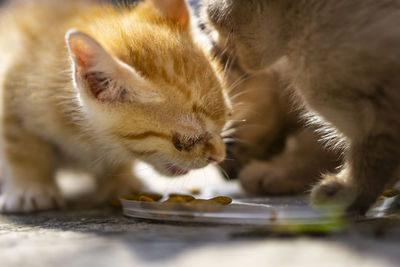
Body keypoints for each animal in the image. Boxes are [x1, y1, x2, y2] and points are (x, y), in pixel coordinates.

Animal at [0, 0, 230, 214]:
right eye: (184, 141)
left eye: (226, 118)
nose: (220, 157)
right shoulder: (11, 86)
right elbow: (21, 144)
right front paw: (30, 188)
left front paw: (120, 182)